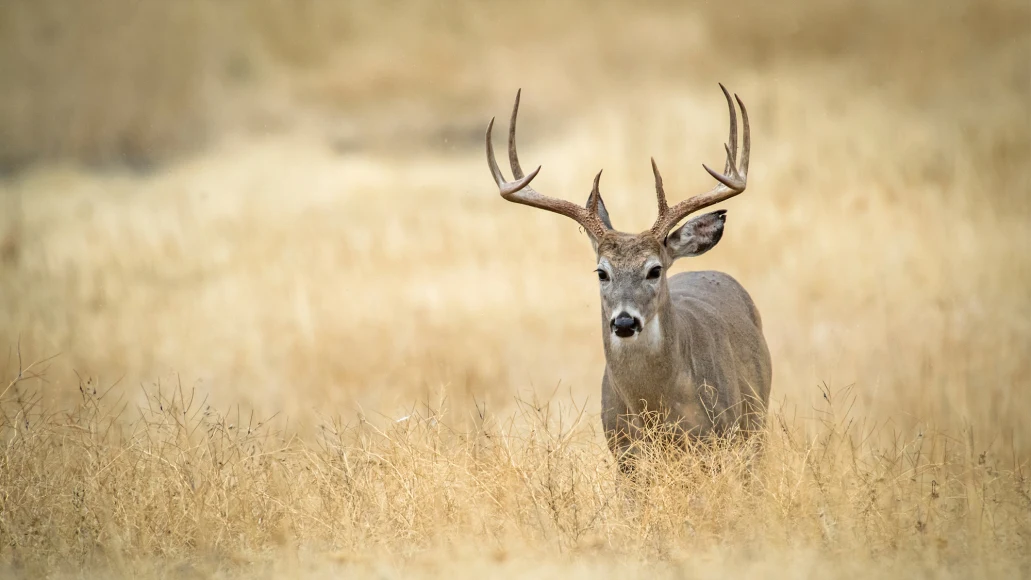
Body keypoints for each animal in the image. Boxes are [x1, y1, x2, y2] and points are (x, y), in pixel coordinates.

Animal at [486, 86, 771, 473]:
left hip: (755, 422)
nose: (623, 322)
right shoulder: (623, 453)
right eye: (602, 271)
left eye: (654, 270)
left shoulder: (719, 440)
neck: (657, 408)